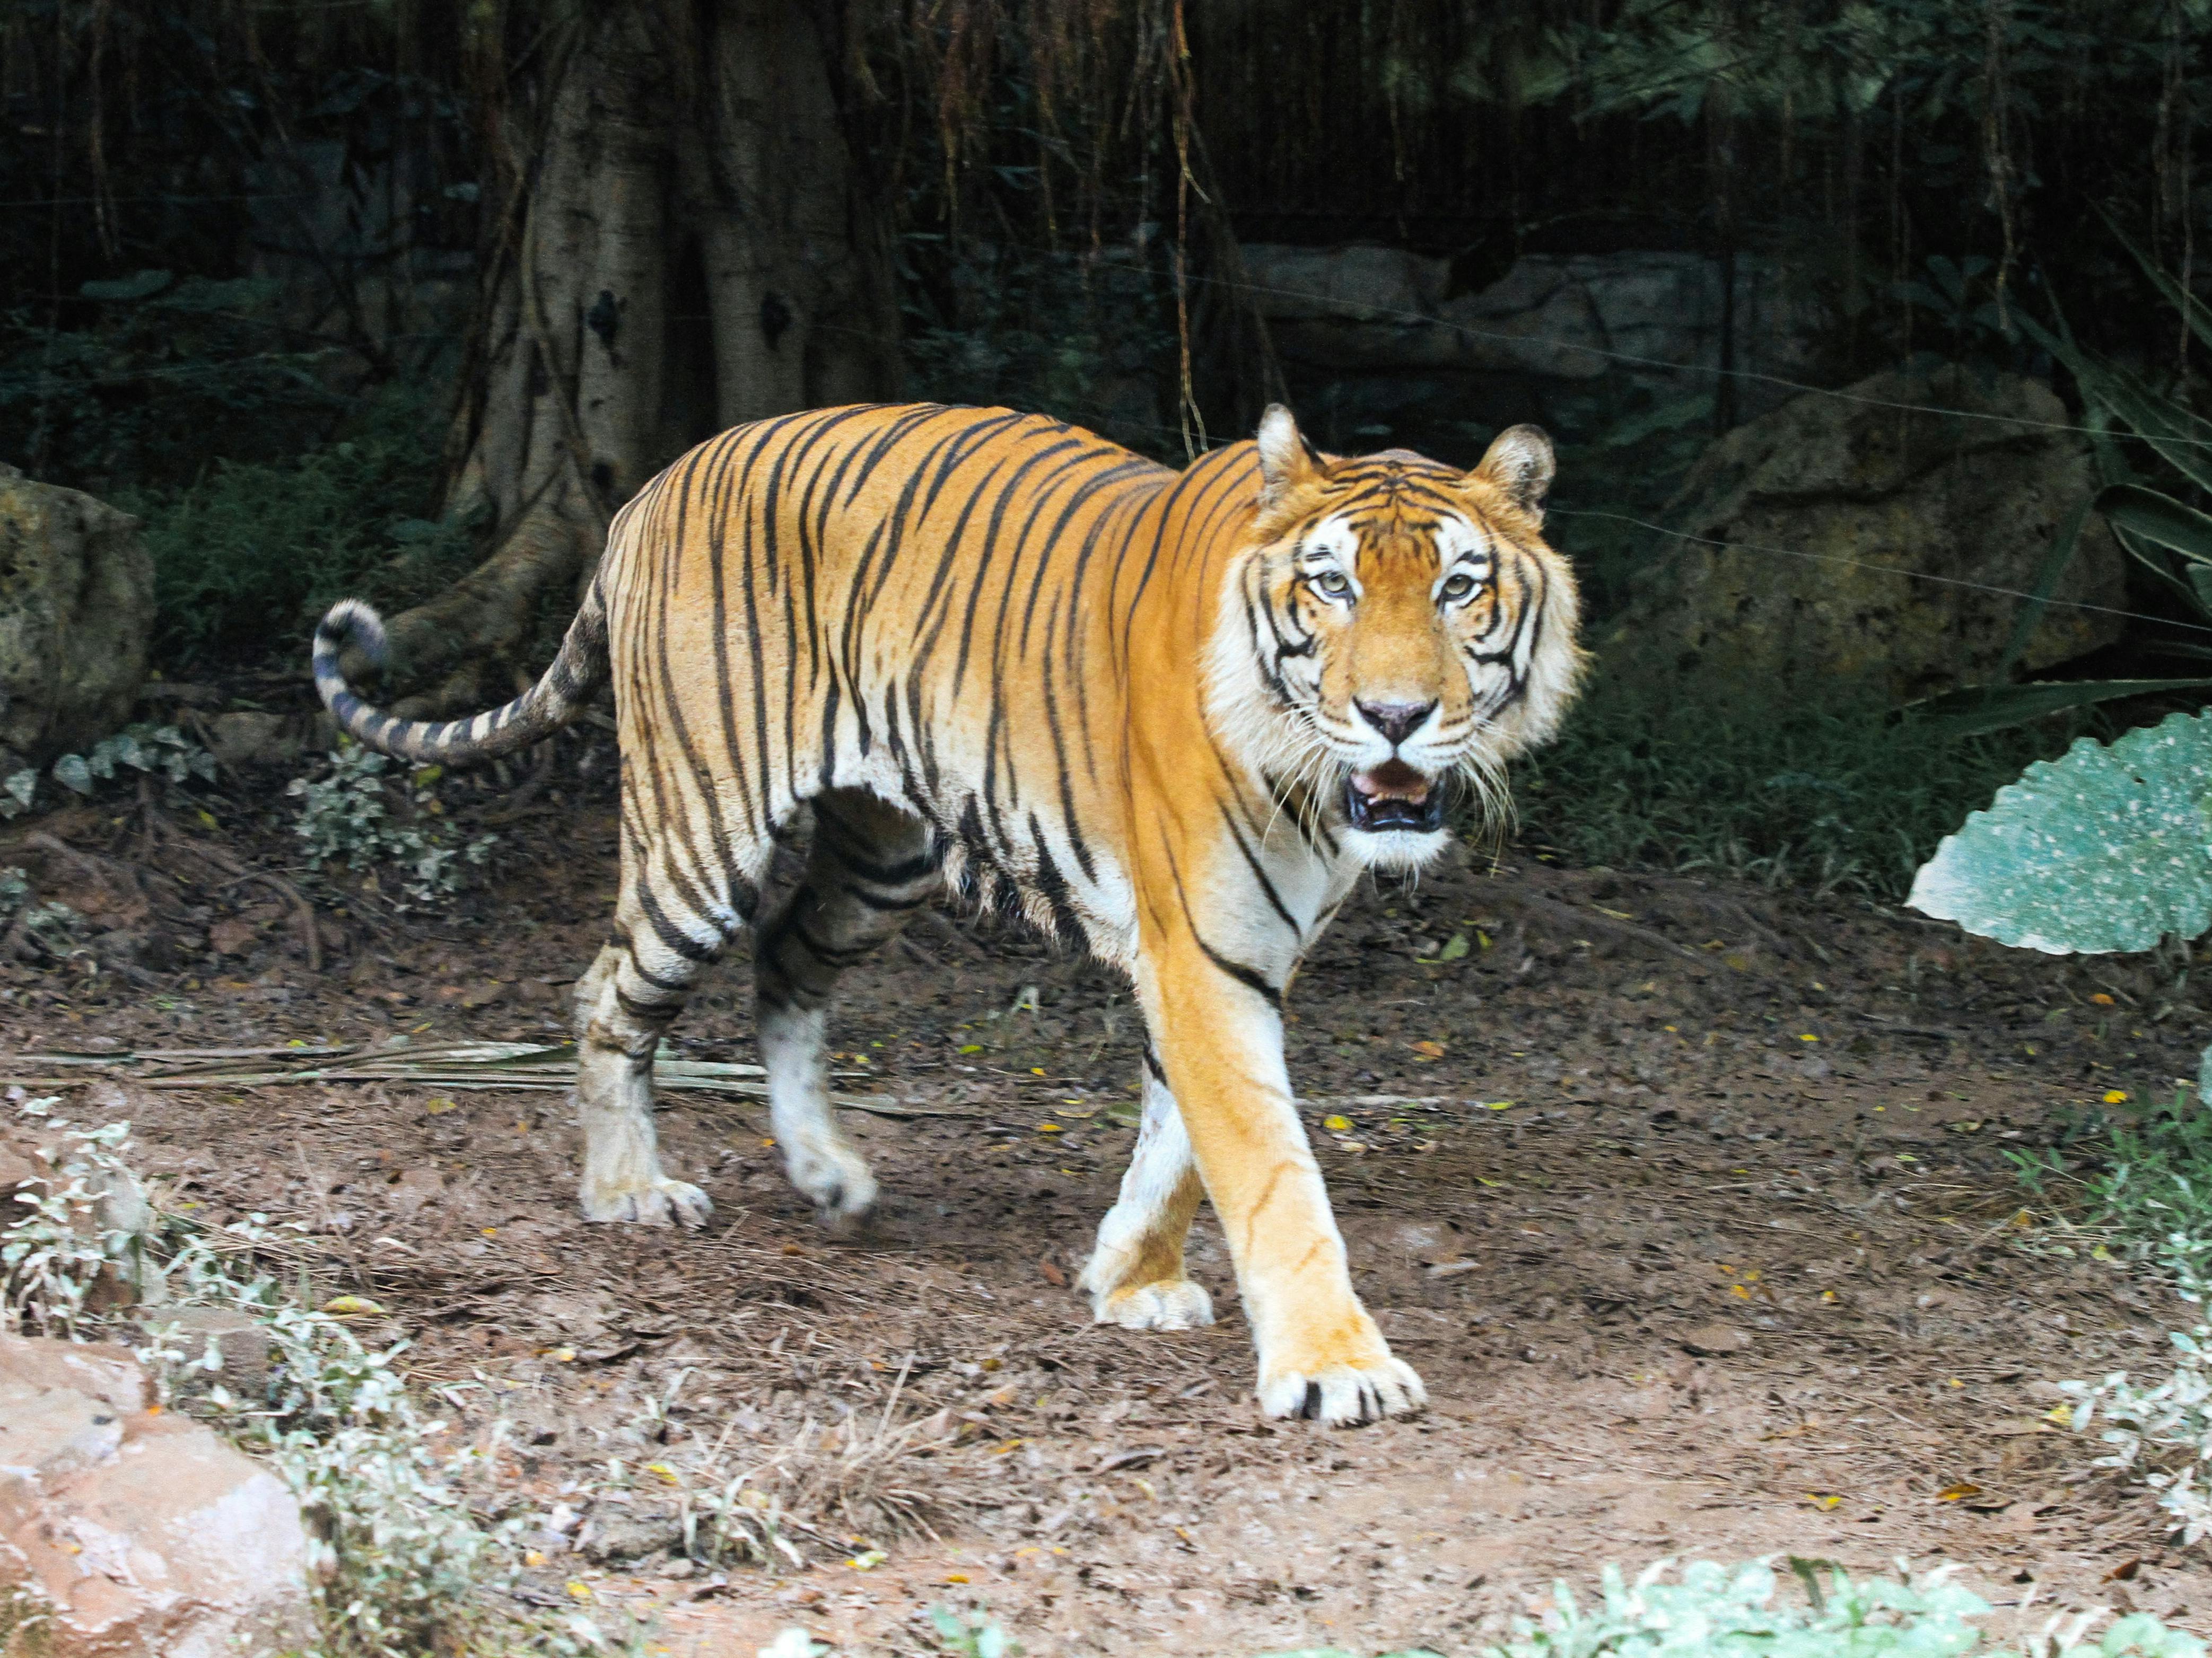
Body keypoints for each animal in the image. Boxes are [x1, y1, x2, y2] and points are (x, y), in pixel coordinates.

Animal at [311, 401, 1583, 1425]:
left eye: (1459, 587)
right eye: (1332, 586)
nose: (1395, 718)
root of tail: (648, 489)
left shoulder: (1237, 960)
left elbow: (1179, 1141)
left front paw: (1131, 1280)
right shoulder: (1204, 956)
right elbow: (1268, 1169)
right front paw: (1335, 1369)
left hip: (883, 856)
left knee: (785, 963)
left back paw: (828, 1173)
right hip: (701, 832)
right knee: (608, 992)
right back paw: (629, 1190)